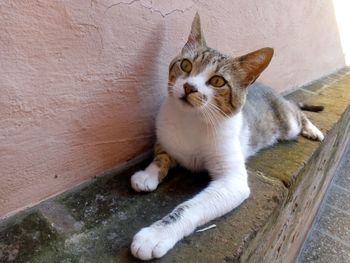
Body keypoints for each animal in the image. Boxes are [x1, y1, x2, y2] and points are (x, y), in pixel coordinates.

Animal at [129, 13, 322, 260]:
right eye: (185, 64)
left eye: (218, 81)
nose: (189, 87)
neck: (192, 120)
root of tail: (272, 90)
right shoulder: (166, 137)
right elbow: (161, 155)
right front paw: (148, 174)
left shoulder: (232, 181)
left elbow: (190, 207)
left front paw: (156, 235)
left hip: (288, 123)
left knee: (298, 112)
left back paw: (314, 130)